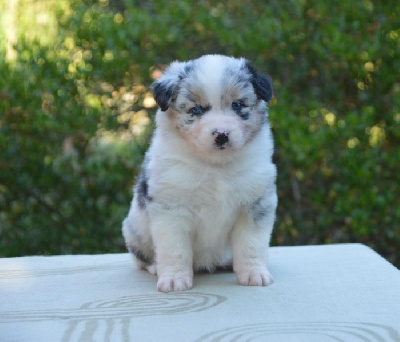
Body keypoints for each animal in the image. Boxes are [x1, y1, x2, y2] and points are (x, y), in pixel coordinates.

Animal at [122, 54, 278, 292]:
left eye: (237, 105)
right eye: (196, 110)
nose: (221, 134)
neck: (215, 166)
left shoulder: (255, 204)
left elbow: (251, 245)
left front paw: (254, 274)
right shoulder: (171, 208)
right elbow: (175, 249)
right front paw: (174, 279)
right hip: (134, 230)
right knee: (142, 258)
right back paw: (156, 267)